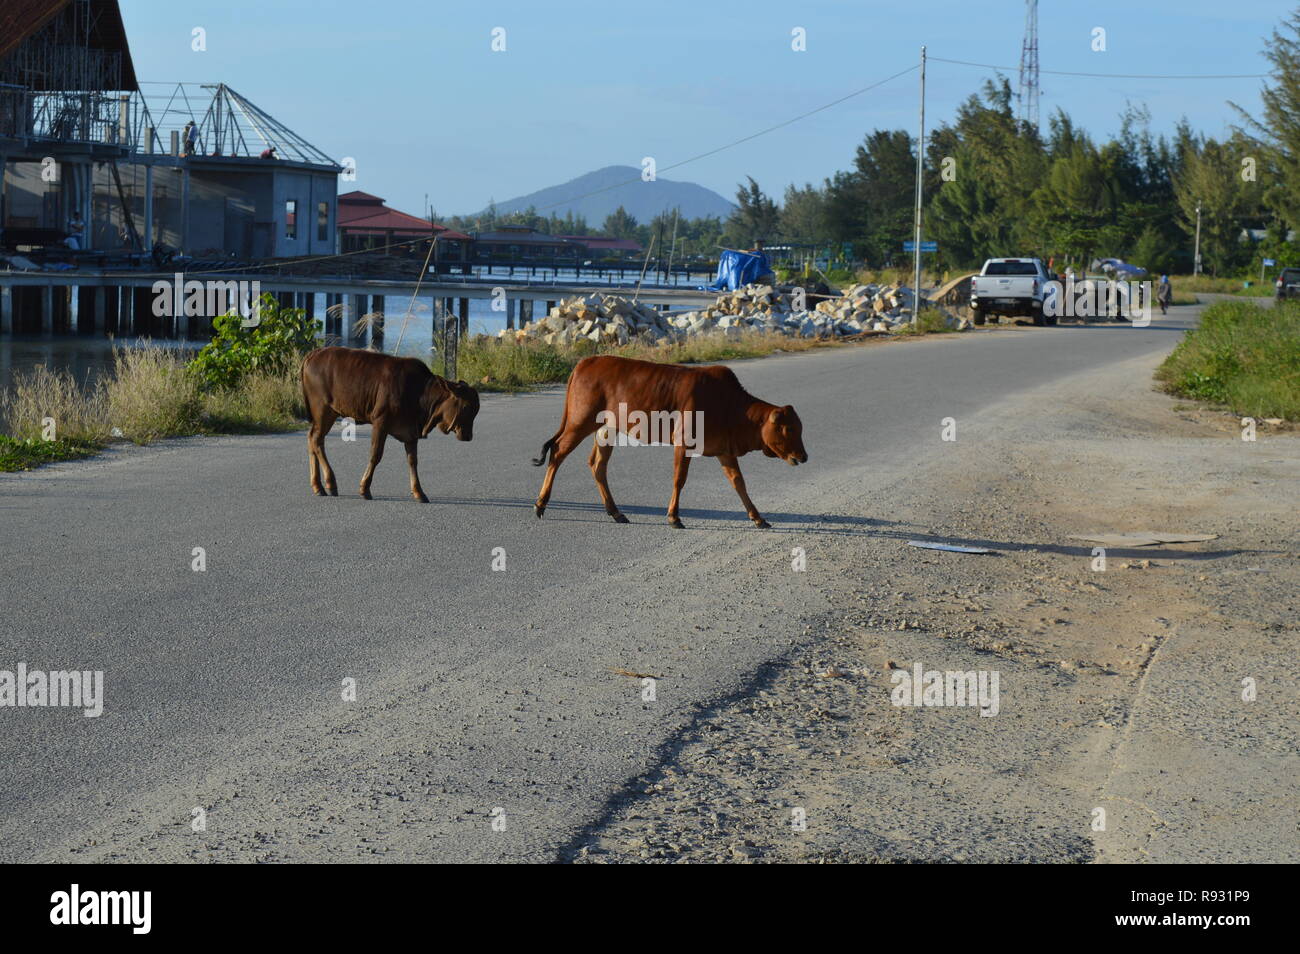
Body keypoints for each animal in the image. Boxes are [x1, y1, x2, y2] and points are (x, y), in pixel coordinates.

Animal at [301, 348, 480, 504]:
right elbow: (375, 455)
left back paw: (318, 486)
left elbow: (412, 460)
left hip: (328, 414)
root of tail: (314, 353)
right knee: (316, 440)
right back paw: (330, 483)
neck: (420, 392)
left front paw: (419, 492)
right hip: (323, 410)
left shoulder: (411, 431)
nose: (468, 436)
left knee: (313, 439)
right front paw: (364, 489)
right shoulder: (380, 422)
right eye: (466, 407)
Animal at [533, 356, 806, 530]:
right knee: (558, 452)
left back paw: (616, 512)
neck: (730, 406)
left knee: (597, 466)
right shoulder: (683, 443)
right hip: (580, 421)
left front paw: (758, 518)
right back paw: (540, 504)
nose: (803, 457)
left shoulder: (724, 451)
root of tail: (586, 361)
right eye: (788, 428)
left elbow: (739, 483)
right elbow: (679, 480)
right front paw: (674, 517)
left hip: (606, 429)